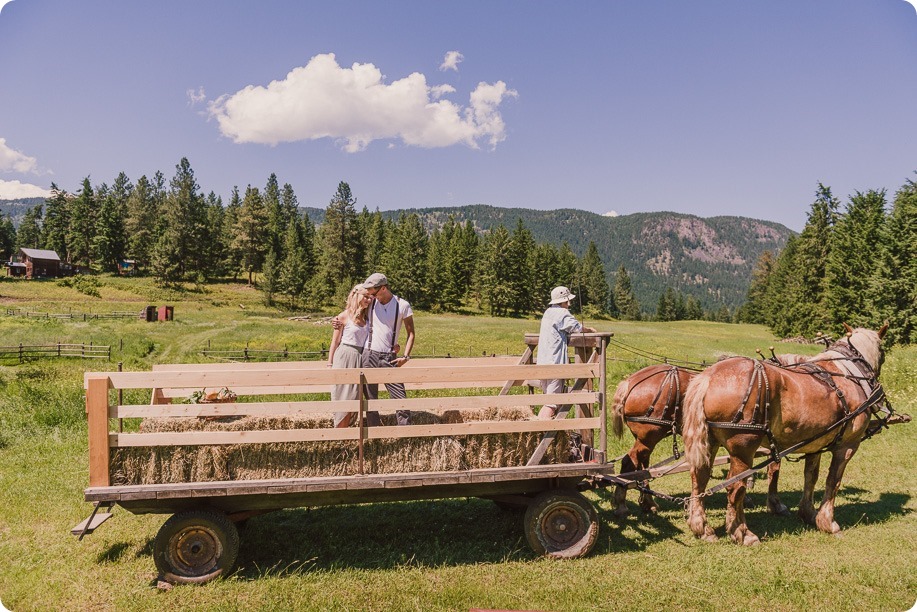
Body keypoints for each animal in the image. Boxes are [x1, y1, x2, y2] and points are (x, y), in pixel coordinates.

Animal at [608, 366, 788, 520]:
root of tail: (630, 381)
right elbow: (773, 468)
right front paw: (775, 504)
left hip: (646, 438)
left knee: (643, 466)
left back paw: (648, 503)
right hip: (649, 436)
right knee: (629, 462)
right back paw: (621, 505)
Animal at [684, 322, 884, 544]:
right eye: (883, 353)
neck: (848, 376)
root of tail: (708, 377)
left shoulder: (815, 445)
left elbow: (811, 477)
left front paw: (808, 513)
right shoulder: (847, 446)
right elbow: (833, 481)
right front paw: (828, 522)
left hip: (709, 442)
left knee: (699, 479)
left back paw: (702, 528)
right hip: (743, 449)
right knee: (735, 488)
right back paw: (742, 533)